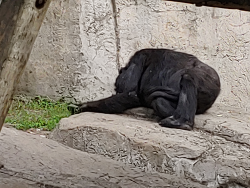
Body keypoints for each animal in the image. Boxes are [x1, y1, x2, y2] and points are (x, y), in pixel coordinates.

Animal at [69, 48, 220, 131]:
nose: (116, 84)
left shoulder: (138, 58)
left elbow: (130, 93)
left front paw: (83, 106)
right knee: (160, 101)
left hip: (210, 80)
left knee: (188, 79)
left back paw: (182, 122)